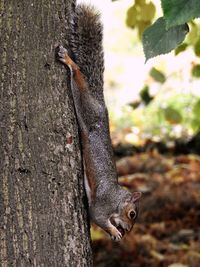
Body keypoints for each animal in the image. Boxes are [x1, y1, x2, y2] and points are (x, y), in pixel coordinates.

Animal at [56, 3, 141, 243]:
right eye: (132, 214)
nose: (128, 231)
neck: (117, 199)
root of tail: (101, 105)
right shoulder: (102, 205)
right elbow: (98, 217)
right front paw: (114, 231)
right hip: (87, 109)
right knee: (78, 79)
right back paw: (70, 62)